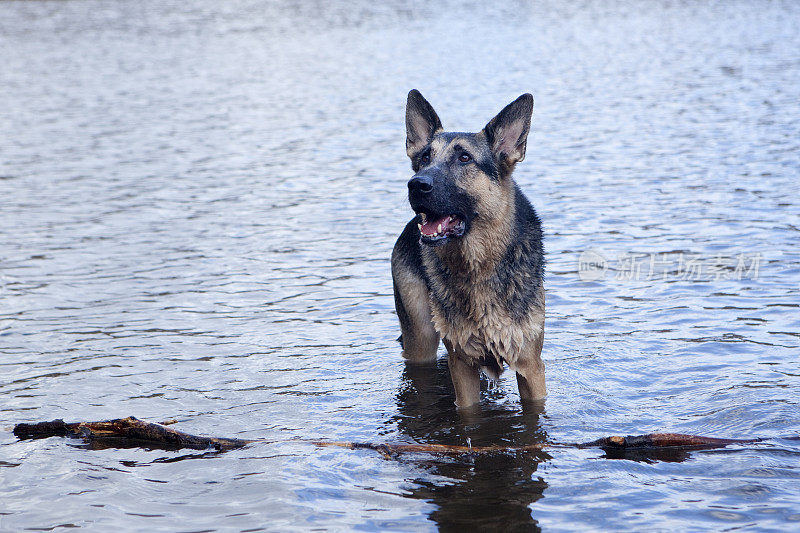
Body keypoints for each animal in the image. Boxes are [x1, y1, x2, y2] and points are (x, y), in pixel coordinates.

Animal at [392, 90, 548, 408]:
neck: (478, 264)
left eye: (464, 158)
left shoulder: (531, 367)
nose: (416, 184)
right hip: (420, 337)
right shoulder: (462, 365)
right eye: (425, 157)